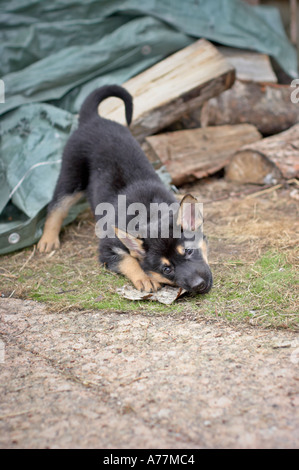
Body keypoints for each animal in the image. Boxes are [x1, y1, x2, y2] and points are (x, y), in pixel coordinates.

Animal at [38, 82, 213, 292]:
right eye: (167, 269)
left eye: (188, 251)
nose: (199, 286)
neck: (150, 213)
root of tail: (93, 119)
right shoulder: (107, 248)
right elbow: (128, 260)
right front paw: (145, 278)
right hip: (71, 177)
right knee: (57, 206)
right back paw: (48, 239)